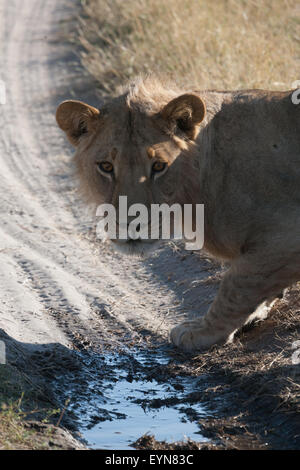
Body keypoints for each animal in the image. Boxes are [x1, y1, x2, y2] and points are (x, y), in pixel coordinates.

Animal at [56, 75, 300, 350]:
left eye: (159, 166)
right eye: (106, 166)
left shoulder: (285, 235)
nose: (131, 224)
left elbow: (237, 284)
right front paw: (255, 313)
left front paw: (203, 331)